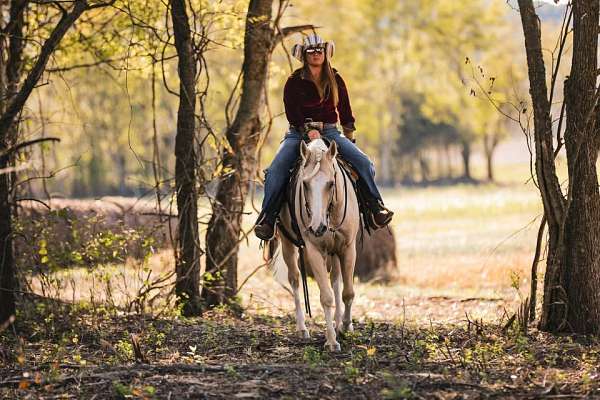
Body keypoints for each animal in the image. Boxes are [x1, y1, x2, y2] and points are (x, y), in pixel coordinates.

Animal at [274, 139, 358, 352]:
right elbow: (326, 297)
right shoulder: (314, 251)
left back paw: (339, 322)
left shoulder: (348, 248)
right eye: (305, 184)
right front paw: (332, 340)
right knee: (295, 279)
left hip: (334, 252)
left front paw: (346, 326)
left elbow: (347, 292)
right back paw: (302, 328)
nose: (317, 227)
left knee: (336, 279)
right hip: (287, 244)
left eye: (331, 183)